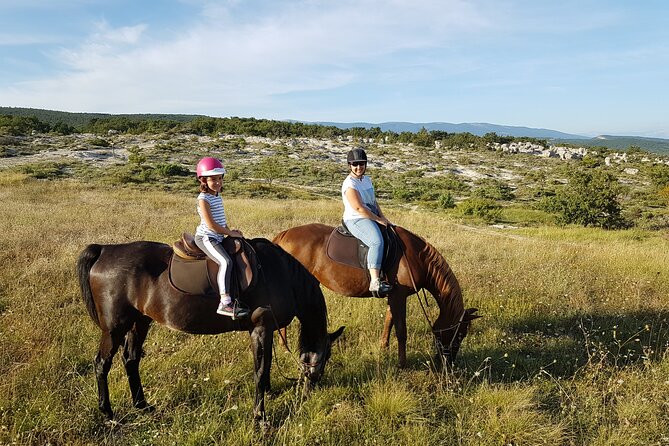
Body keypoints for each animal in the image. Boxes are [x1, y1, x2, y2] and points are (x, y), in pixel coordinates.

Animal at [75, 237, 342, 422]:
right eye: (327, 354)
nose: (313, 385)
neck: (279, 274)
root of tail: (105, 250)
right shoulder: (261, 328)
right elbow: (259, 370)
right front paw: (260, 415)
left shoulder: (264, 331)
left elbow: (264, 368)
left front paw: (267, 393)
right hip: (114, 328)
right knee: (102, 364)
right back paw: (107, 412)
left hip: (140, 321)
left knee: (130, 360)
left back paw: (142, 404)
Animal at [272, 225, 480, 368]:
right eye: (460, 334)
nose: (449, 361)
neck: (417, 258)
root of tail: (284, 235)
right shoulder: (399, 296)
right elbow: (401, 330)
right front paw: (402, 364)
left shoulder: (393, 296)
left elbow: (389, 321)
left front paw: (383, 347)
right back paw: (285, 346)